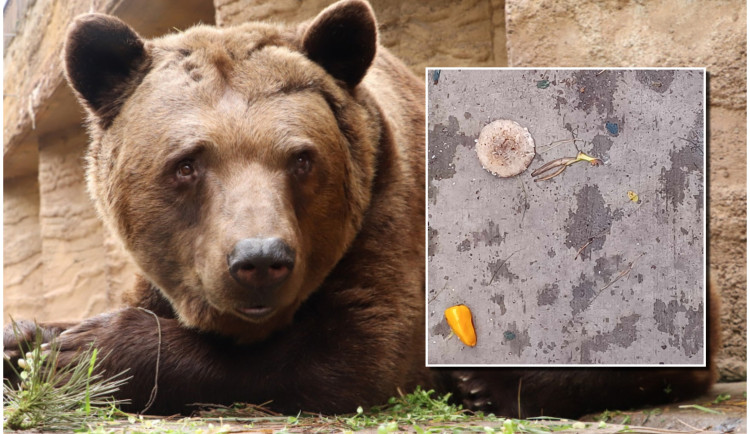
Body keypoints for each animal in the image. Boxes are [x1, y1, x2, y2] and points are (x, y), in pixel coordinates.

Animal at [5, 0, 724, 418]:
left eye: (301, 159)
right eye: (187, 164)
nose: (260, 261)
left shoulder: (390, 220)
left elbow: (348, 353)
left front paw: (88, 351)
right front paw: (32, 338)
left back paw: (490, 382)